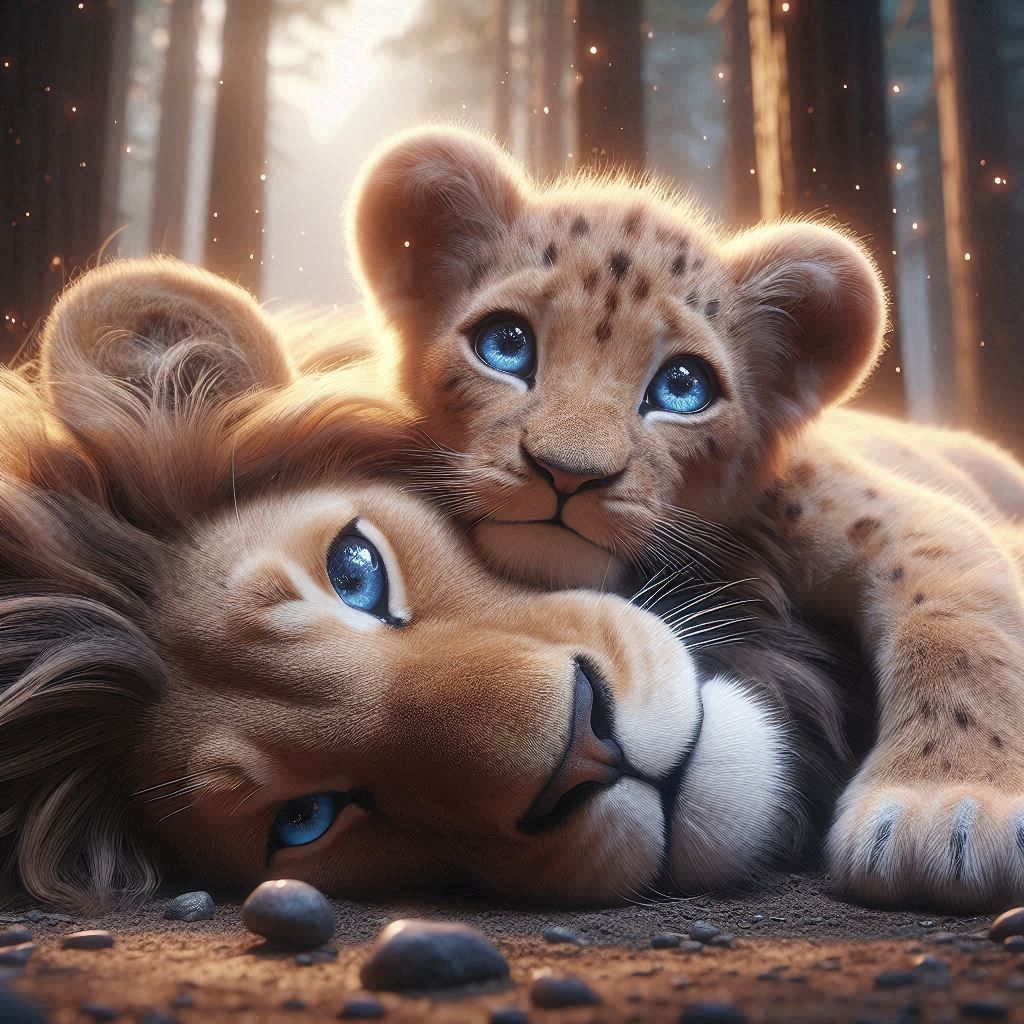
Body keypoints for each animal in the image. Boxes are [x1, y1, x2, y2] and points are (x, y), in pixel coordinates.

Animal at [348, 126, 1024, 911]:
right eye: (506, 344)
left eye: (681, 387)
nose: (568, 473)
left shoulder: (881, 512)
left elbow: (958, 622)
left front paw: (948, 809)